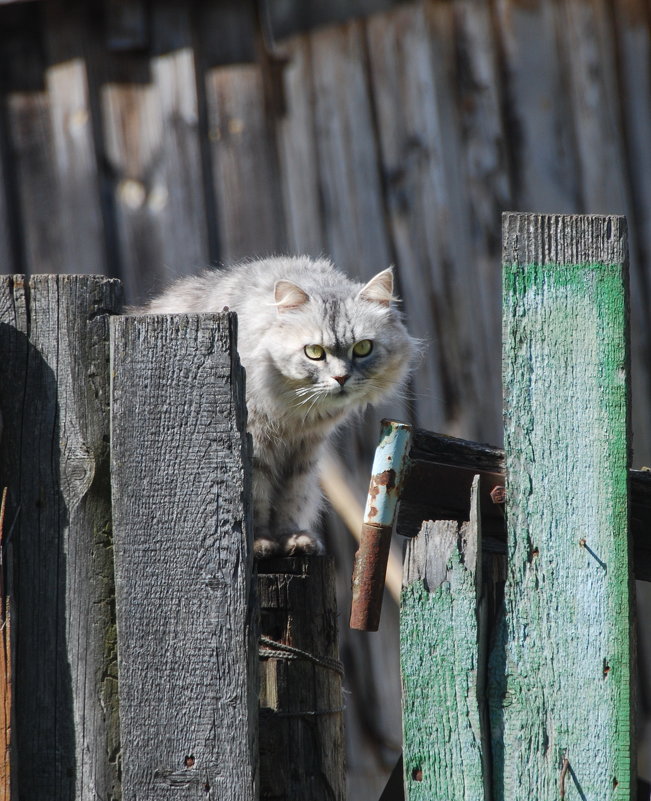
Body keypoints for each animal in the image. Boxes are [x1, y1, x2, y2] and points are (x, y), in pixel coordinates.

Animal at [143, 256, 418, 556]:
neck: (294, 414)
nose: (341, 378)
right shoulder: (257, 445)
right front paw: (261, 543)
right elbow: (258, 498)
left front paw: (293, 539)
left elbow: (291, 498)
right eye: (314, 352)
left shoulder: (304, 450)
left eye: (363, 348)